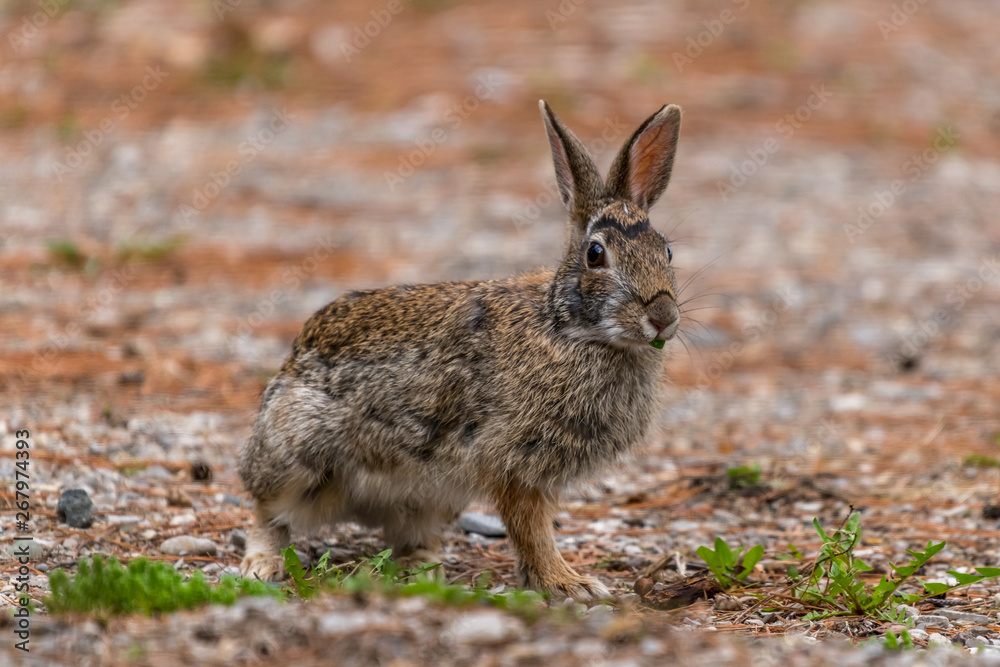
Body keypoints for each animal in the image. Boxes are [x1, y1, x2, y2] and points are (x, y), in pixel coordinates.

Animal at [238, 100, 683, 600]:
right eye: (595, 254)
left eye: (666, 251)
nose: (663, 316)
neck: (569, 329)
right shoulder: (512, 463)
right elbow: (532, 529)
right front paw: (569, 584)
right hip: (295, 455)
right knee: (268, 512)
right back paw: (262, 566)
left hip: (432, 497)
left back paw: (422, 571)